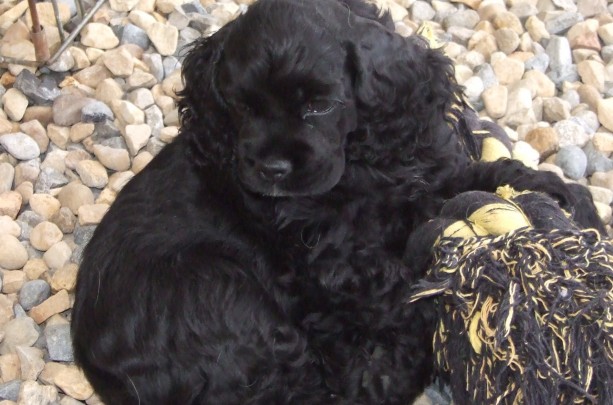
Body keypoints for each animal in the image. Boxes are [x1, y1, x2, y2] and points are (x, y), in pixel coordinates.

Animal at [70, 0, 604, 404]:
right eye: (242, 106)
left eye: (319, 105)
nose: (271, 169)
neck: (360, 165)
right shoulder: (336, 261)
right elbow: (404, 284)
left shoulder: (424, 171)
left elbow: (471, 179)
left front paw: (559, 196)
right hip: (218, 292)